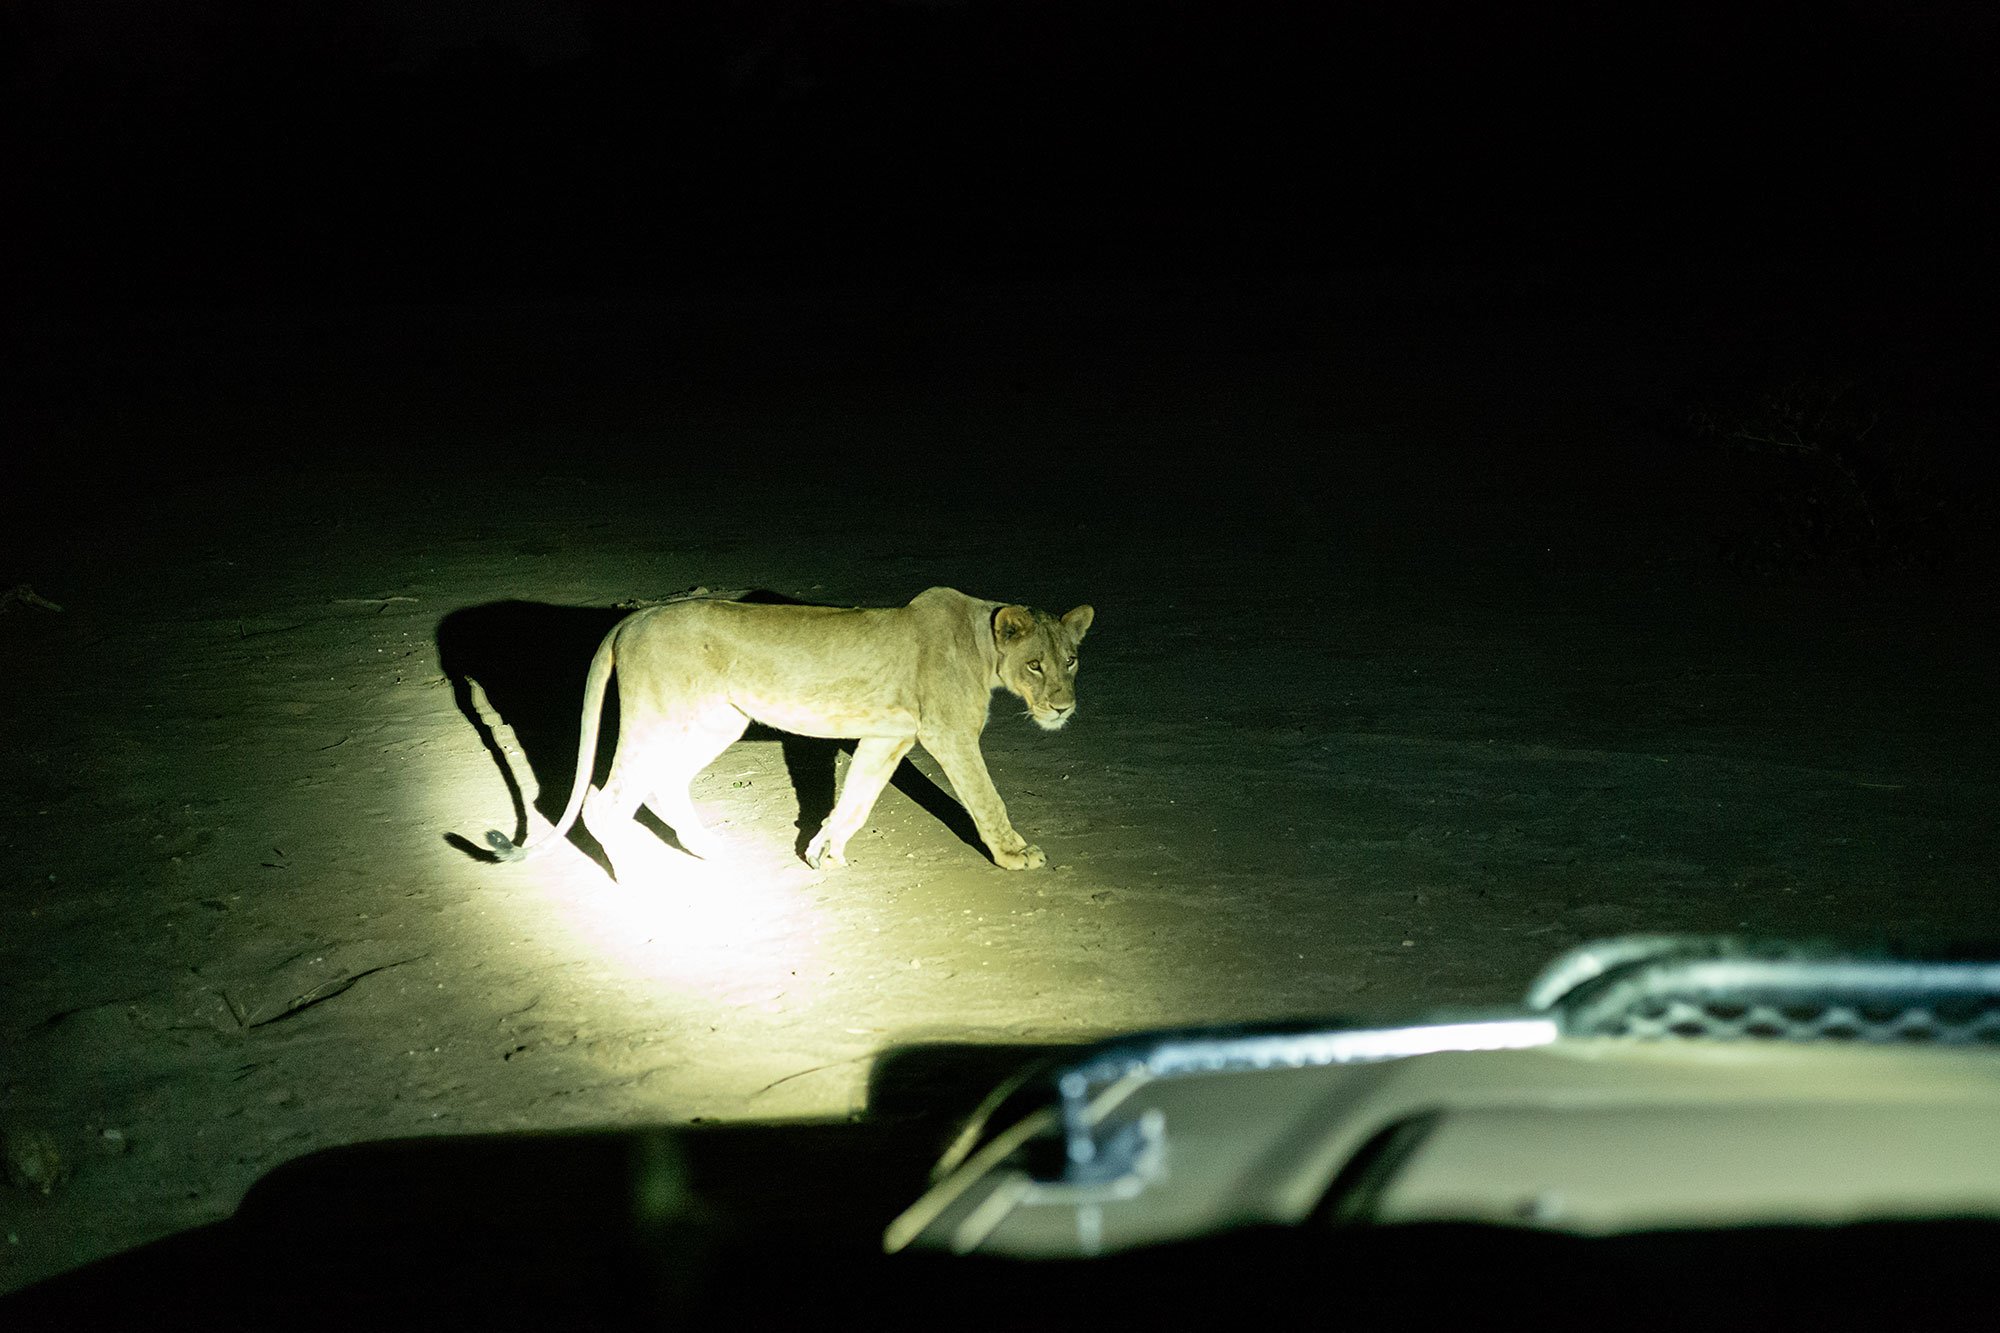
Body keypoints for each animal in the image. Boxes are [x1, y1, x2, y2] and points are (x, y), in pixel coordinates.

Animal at [485, 587, 1093, 875]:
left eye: (1070, 660)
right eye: (1035, 666)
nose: (1063, 708)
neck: (983, 644)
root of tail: (633, 618)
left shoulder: (887, 738)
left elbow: (856, 799)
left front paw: (825, 852)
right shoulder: (949, 734)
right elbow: (986, 799)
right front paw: (1015, 855)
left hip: (717, 720)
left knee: (663, 784)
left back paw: (709, 850)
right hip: (657, 717)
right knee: (604, 802)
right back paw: (643, 880)